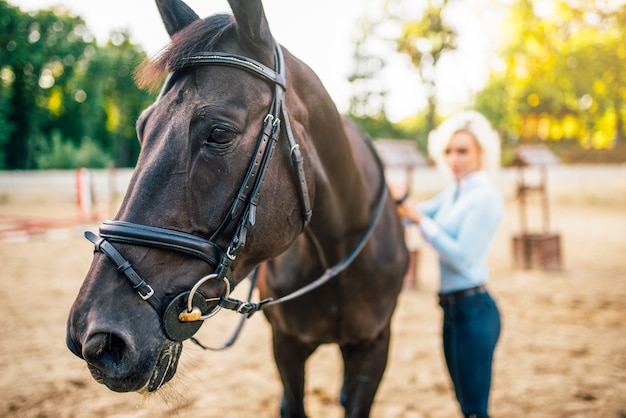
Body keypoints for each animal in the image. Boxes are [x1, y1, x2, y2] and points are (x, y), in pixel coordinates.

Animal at [66, 1, 408, 416]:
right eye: (142, 127)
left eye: (220, 133)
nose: (94, 336)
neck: (337, 255)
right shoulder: (286, 345)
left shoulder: (374, 346)